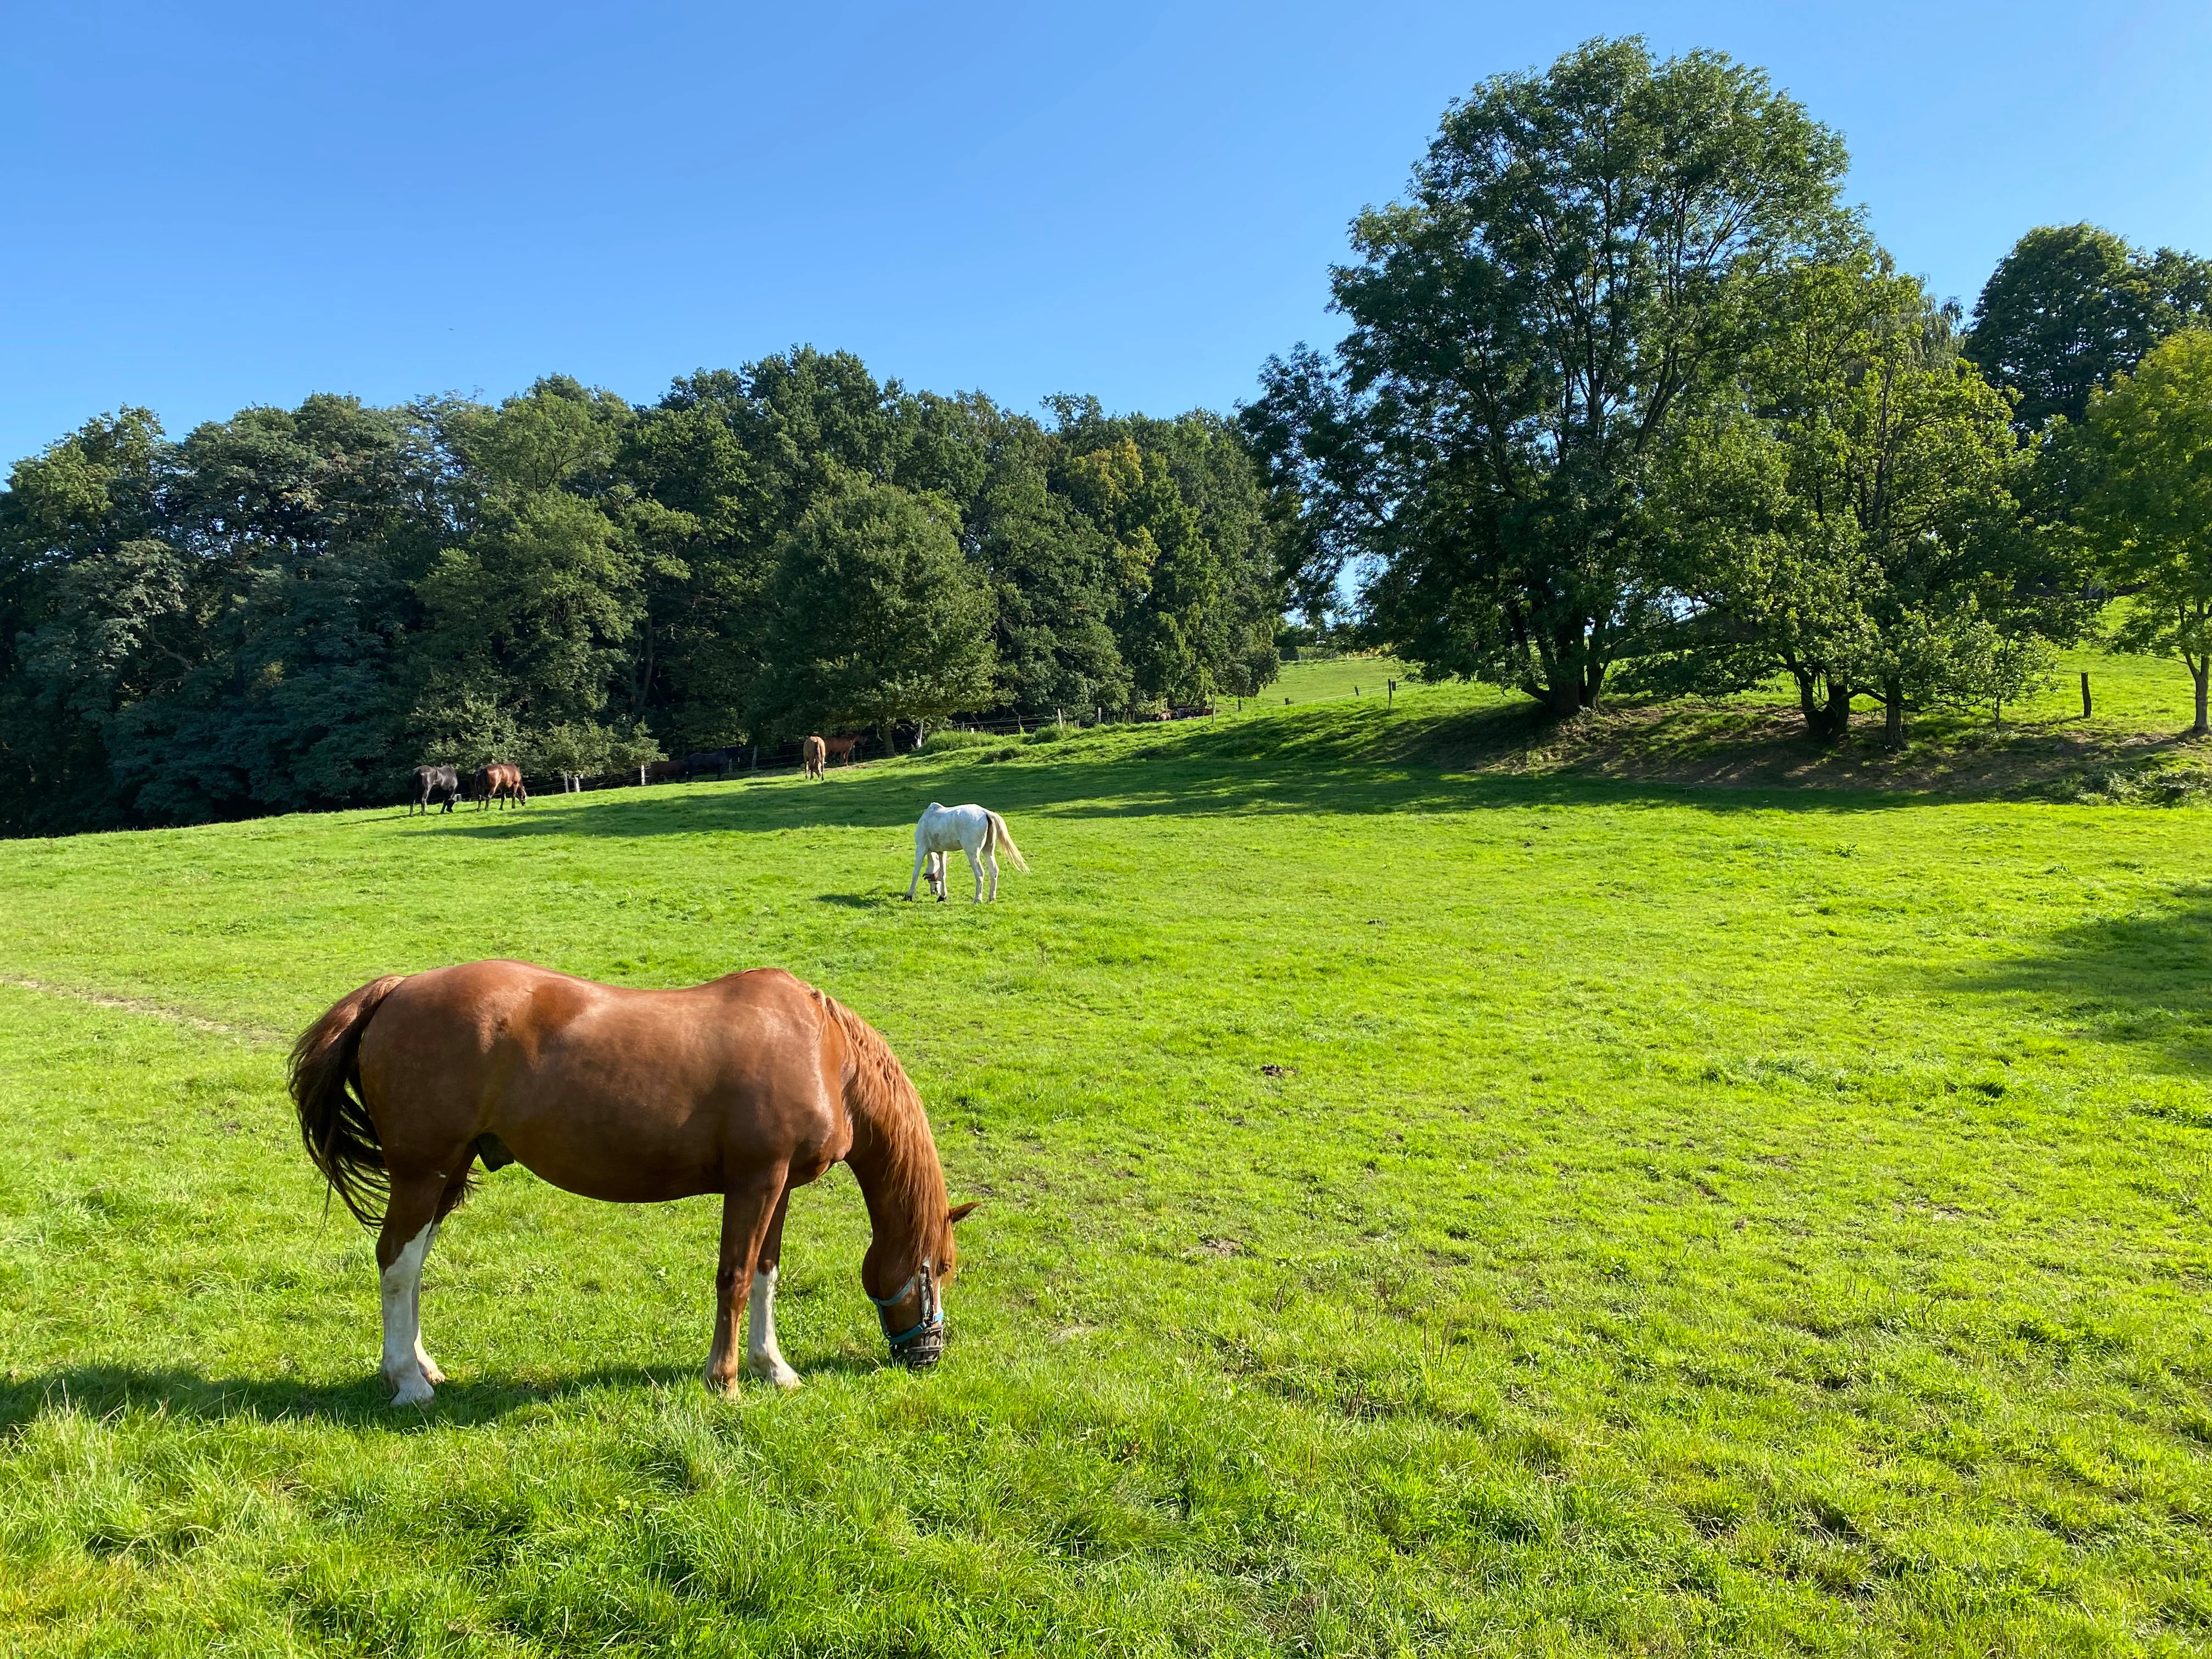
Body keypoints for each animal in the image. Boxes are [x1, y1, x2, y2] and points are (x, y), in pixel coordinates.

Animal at [289, 961, 979, 1405]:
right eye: (942, 1267)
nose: (929, 1354)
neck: (825, 1053)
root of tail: (397, 991)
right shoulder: (754, 1181)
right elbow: (733, 1278)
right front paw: (725, 1380)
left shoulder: (778, 1187)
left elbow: (765, 1275)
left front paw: (774, 1368)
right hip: (421, 1169)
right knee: (396, 1263)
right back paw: (406, 1382)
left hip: (448, 1171)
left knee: (415, 1263)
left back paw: (424, 1367)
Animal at [905, 803, 1029, 903]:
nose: (935, 892)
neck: (930, 816)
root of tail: (986, 813)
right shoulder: (942, 852)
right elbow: (943, 874)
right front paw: (943, 897)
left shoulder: (921, 848)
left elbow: (915, 873)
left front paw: (909, 895)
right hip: (988, 850)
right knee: (994, 870)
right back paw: (990, 898)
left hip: (972, 853)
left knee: (980, 873)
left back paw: (977, 899)